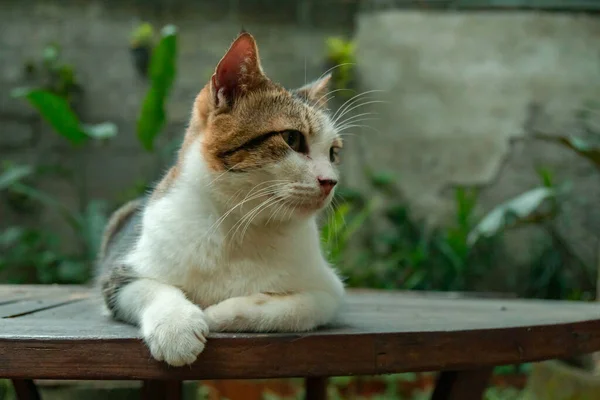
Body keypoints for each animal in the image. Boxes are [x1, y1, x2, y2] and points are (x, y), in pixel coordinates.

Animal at [96, 32, 344, 368]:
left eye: (333, 153)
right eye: (292, 138)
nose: (330, 181)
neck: (240, 223)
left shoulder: (329, 290)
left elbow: (298, 308)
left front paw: (219, 313)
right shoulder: (120, 274)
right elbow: (152, 288)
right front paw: (176, 326)